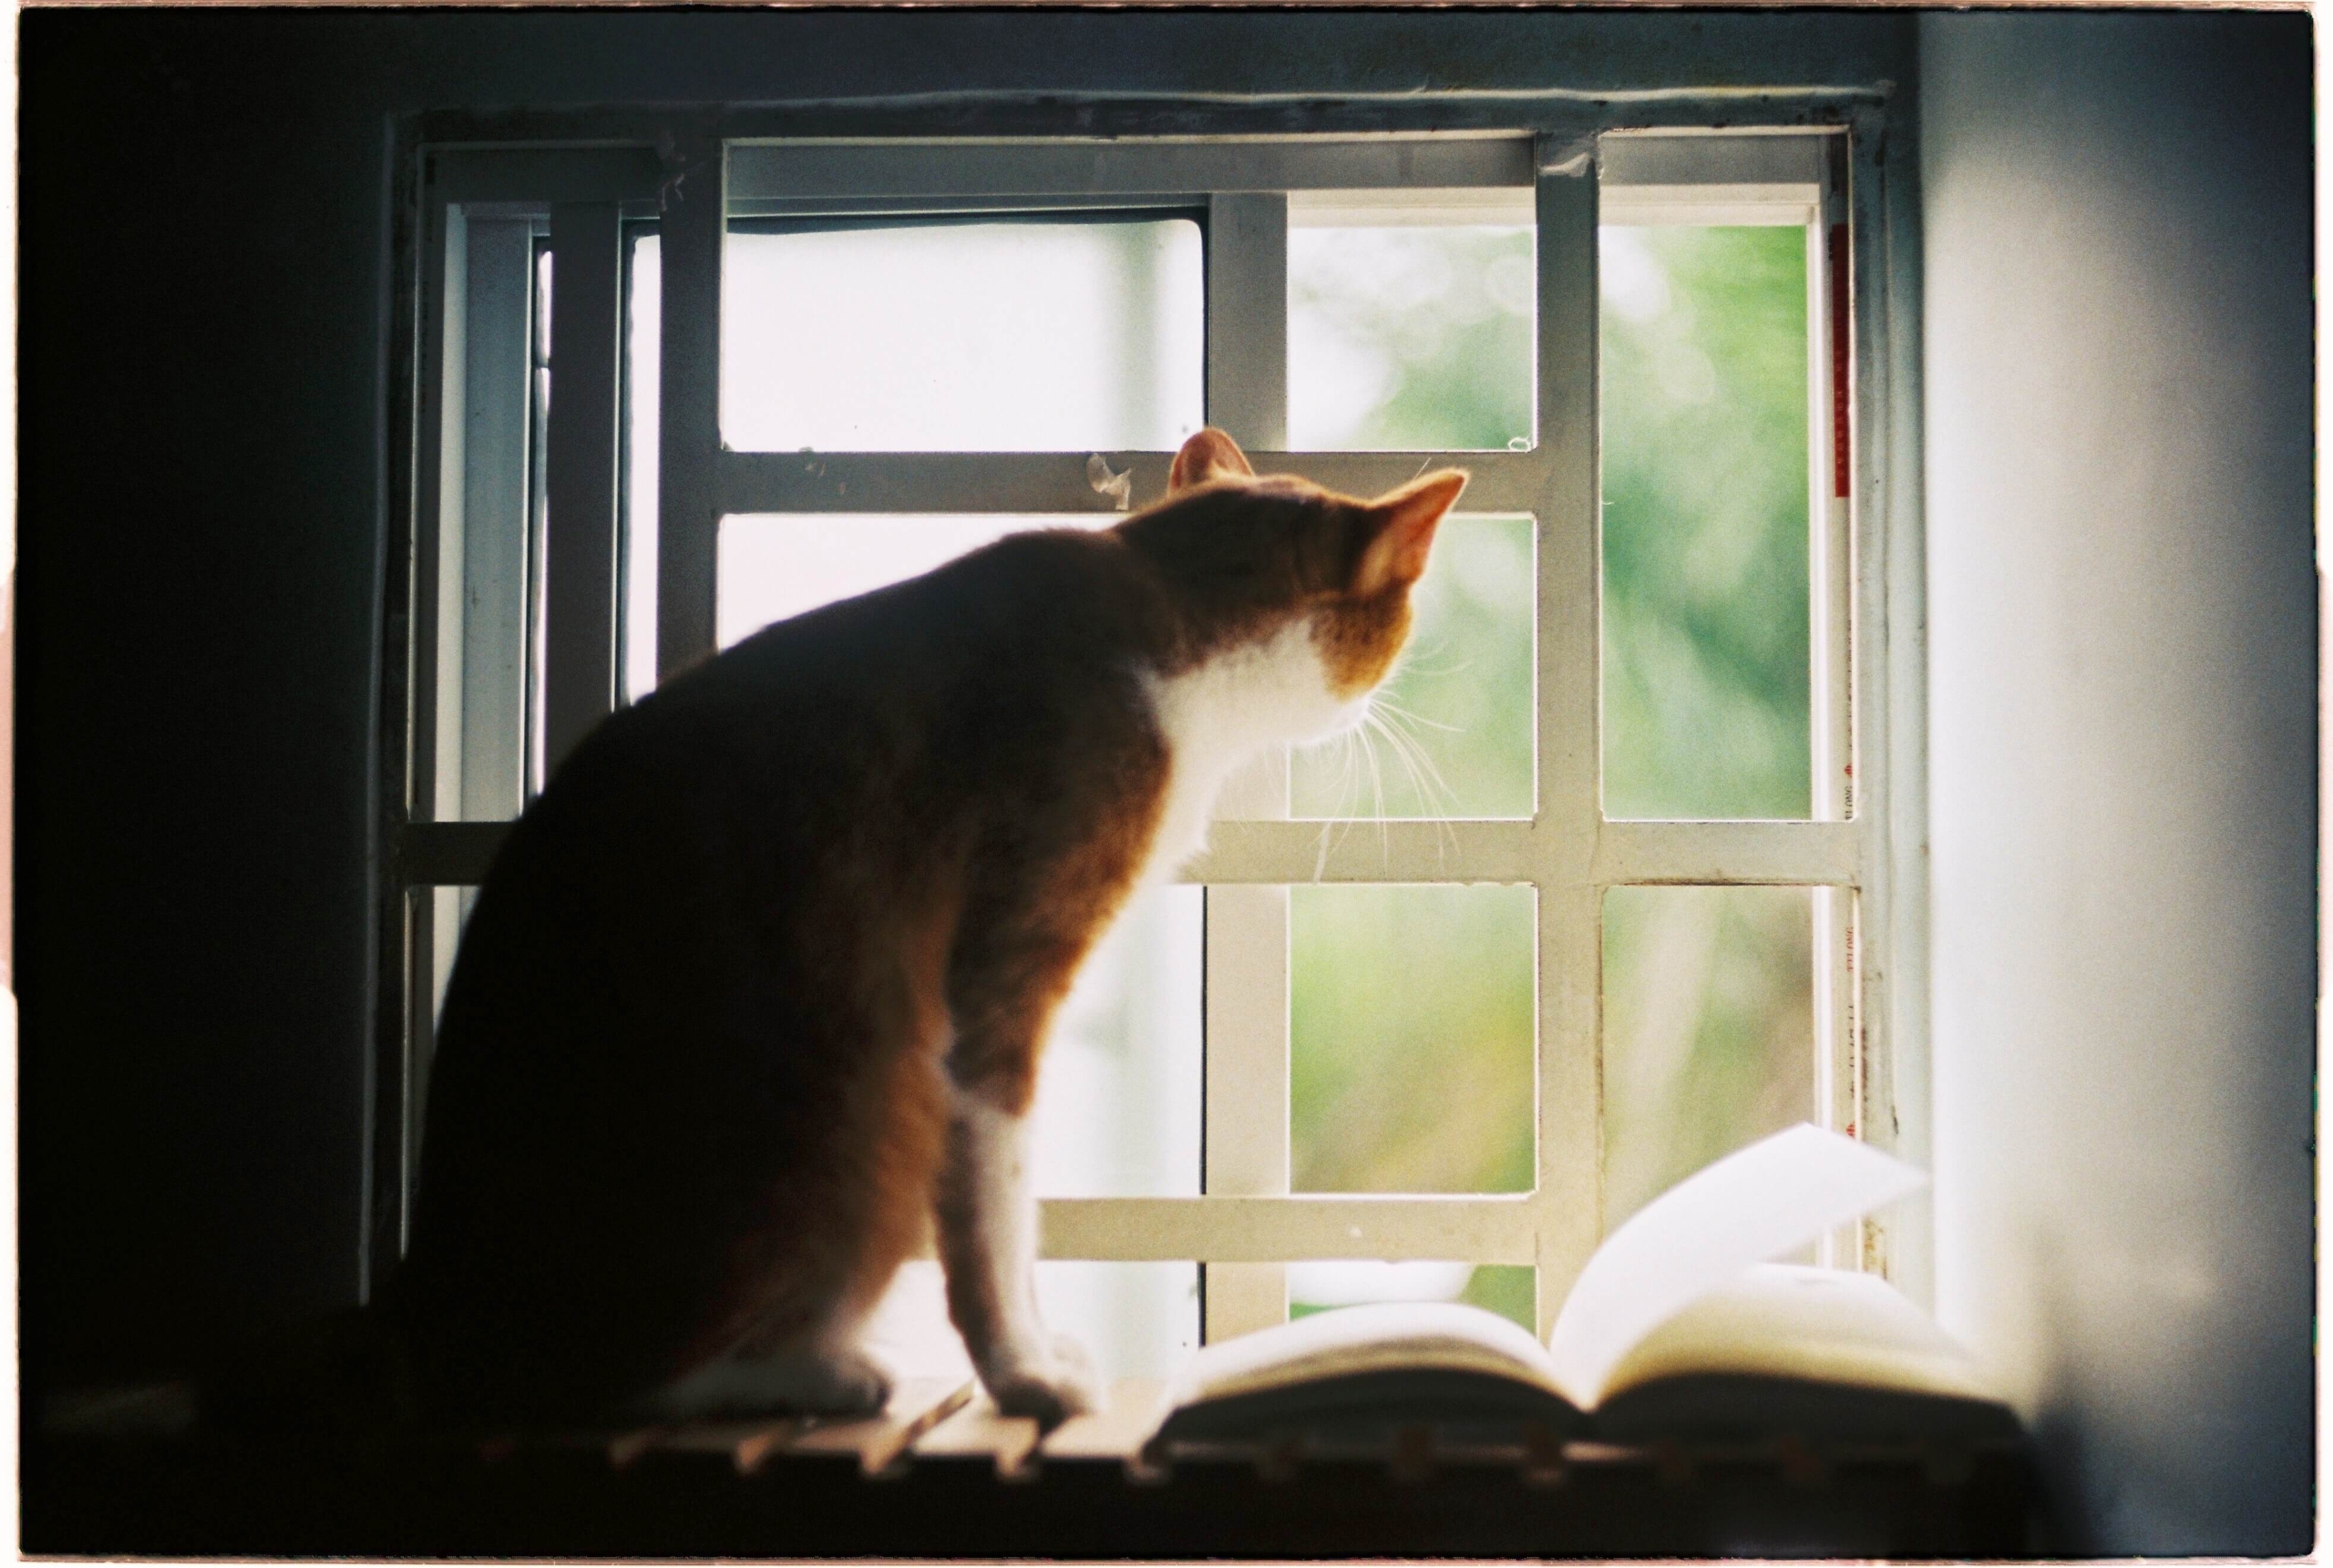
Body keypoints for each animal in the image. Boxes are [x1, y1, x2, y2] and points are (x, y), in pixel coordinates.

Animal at [392, 429, 1465, 1437]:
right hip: (859, 1111)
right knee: (623, 1381)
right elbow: (996, 1208)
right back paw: (814, 1372)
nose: (1381, 703)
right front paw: (1024, 1372)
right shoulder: (994, 986)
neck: (1168, 619)